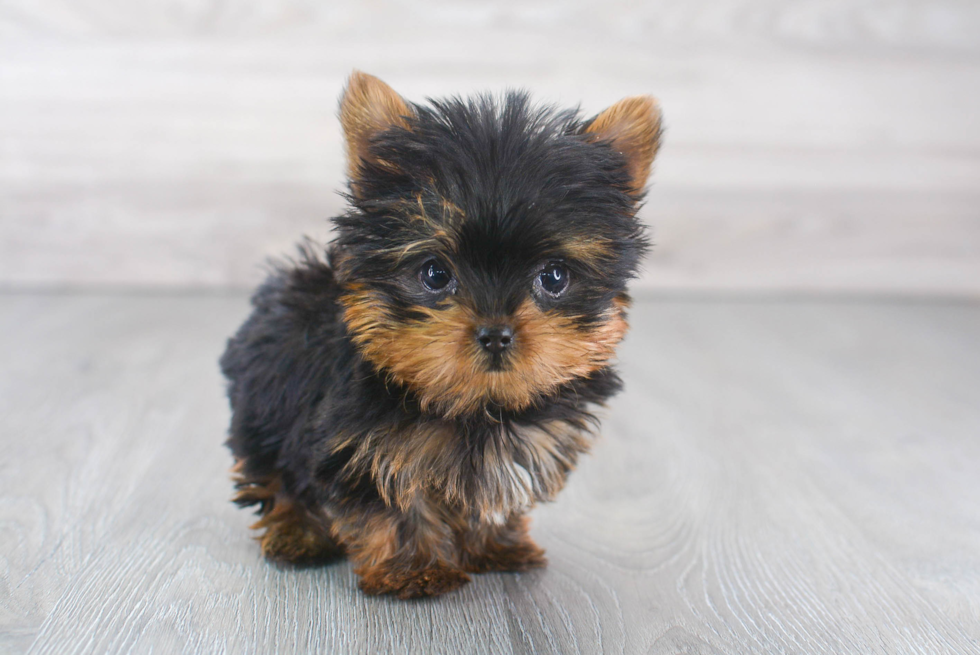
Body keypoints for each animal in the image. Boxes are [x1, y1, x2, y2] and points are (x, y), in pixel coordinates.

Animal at [220, 72, 660, 600]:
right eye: (435, 274)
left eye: (554, 277)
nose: (496, 334)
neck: (476, 406)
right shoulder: (363, 446)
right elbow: (391, 502)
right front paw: (414, 570)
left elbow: (489, 491)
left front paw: (496, 545)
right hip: (265, 402)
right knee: (272, 471)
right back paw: (296, 532)